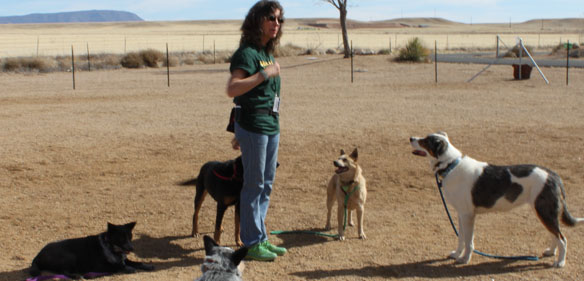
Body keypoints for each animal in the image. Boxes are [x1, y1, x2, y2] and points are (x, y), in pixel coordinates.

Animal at [410, 131, 584, 266]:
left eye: (425, 141)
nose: (411, 138)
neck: (451, 165)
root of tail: (553, 175)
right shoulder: (461, 214)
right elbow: (461, 238)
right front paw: (457, 254)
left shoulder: (468, 216)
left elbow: (469, 241)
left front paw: (465, 259)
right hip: (542, 212)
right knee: (555, 235)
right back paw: (551, 252)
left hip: (545, 211)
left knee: (562, 238)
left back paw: (560, 262)